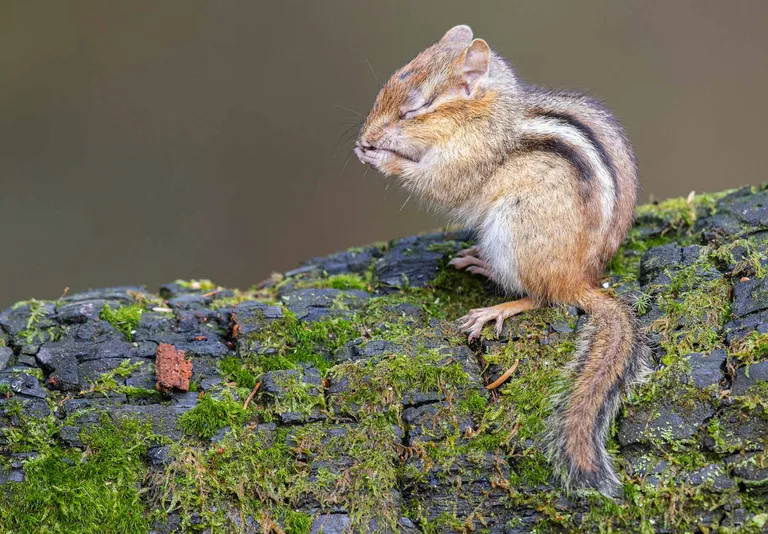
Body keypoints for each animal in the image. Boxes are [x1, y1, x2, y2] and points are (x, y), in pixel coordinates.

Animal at [355, 25, 650, 496]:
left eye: (414, 108)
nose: (366, 137)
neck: (483, 116)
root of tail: (583, 280)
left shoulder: (465, 161)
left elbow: (438, 184)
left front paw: (381, 158)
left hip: (514, 231)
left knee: (543, 297)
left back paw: (496, 306)